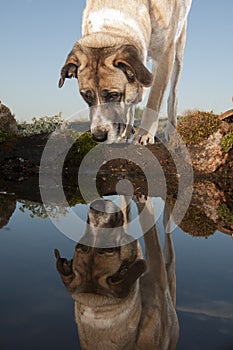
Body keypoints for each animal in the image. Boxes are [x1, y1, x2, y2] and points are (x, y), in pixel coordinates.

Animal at [55, 197, 178, 350]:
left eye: (81, 246)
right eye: (109, 250)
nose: (98, 206)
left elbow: (127, 213)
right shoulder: (157, 272)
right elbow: (147, 223)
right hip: (169, 273)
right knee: (167, 231)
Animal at [59, 0, 192, 144]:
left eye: (114, 95)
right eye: (86, 95)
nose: (99, 136)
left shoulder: (164, 56)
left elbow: (154, 100)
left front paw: (145, 134)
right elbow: (130, 105)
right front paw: (127, 131)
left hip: (178, 52)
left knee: (173, 93)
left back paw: (171, 128)